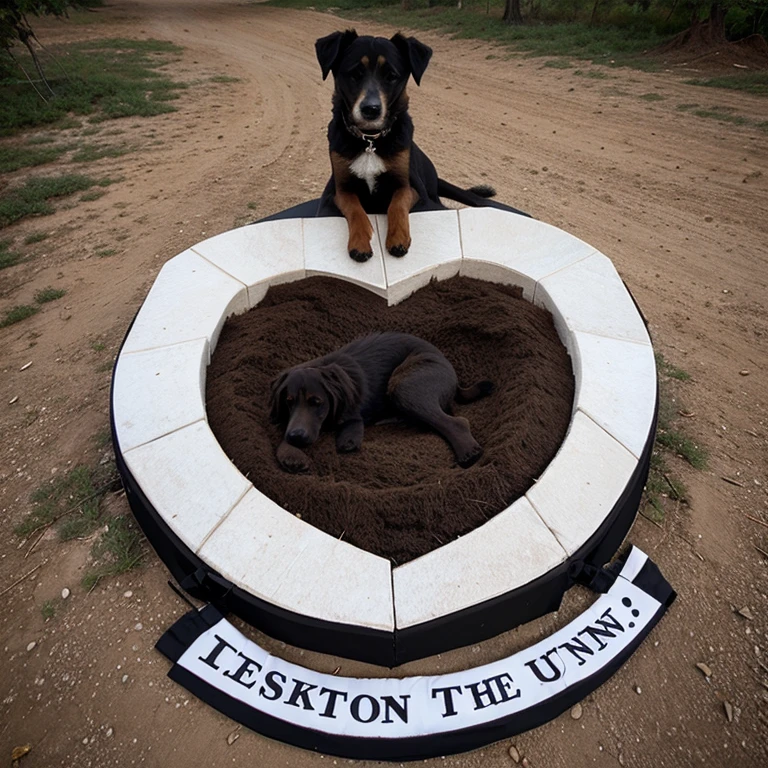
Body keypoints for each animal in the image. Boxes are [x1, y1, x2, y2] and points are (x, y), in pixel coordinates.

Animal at [270, 332, 492, 474]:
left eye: (317, 402)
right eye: (288, 402)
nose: (297, 436)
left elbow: (350, 424)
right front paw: (291, 453)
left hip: (404, 385)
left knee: (457, 422)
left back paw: (468, 453)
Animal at [316, 30, 498, 262]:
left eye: (391, 76)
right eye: (355, 73)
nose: (371, 109)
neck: (370, 140)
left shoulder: (409, 186)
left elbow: (398, 202)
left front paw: (398, 238)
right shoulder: (341, 190)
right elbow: (355, 208)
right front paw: (360, 242)